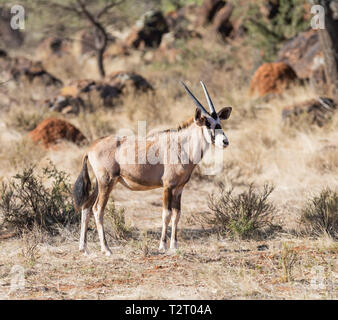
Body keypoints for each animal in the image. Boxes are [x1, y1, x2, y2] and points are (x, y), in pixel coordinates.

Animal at [73, 82, 232, 255]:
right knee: (98, 209)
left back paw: (83, 247)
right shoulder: (167, 186)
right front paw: (163, 245)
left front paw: (174, 245)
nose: (225, 142)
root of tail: (91, 148)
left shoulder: (179, 188)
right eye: (207, 124)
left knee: (87, 206)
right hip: (106, 182)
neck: (182, 145)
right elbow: (166, 214)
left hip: (100, 184)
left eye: (219, 121)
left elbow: (177, 214)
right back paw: (106, 248)